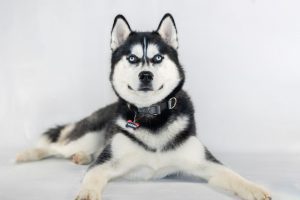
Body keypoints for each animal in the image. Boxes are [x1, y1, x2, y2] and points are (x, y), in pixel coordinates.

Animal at [17, 14, 274, 200]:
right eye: (132, 58)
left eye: (158, 58)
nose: (146, 75)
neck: (152, 116)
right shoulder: (105, 164)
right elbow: (92, 177)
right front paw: (87, 193)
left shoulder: (206, 163)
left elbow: (232, 174)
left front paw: (254, 188)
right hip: (86, 137)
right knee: (55, 147)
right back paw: (27, 154)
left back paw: (80, 157)